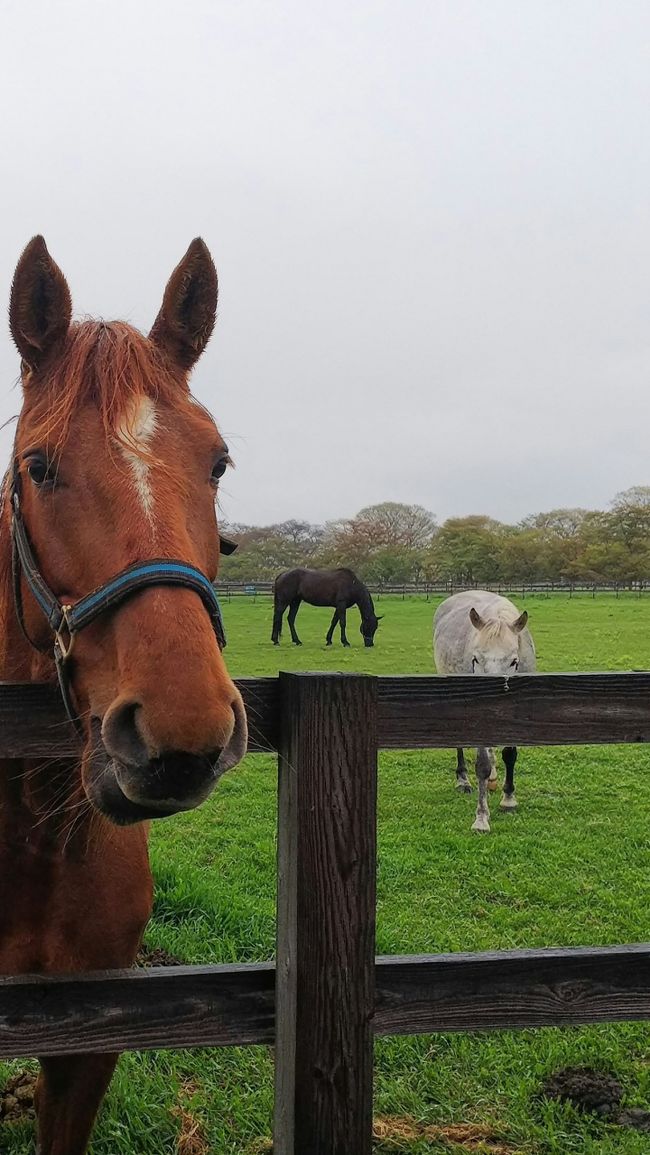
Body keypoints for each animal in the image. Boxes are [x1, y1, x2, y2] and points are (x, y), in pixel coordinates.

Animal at [434, 595, 535, 831]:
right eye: (475, 659)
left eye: (513, 661)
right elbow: (482, 765)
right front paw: (481, 817)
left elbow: (510, 755)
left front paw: (508, 799)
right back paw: (463, 780)